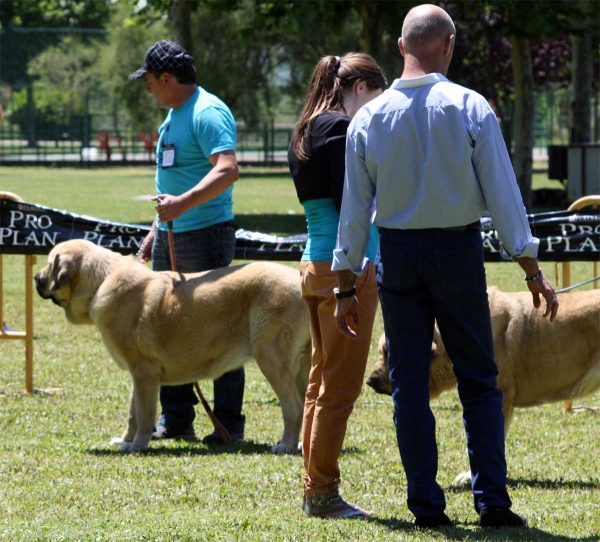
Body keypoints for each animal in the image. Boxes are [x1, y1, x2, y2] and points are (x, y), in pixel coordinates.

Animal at [35, 241, 312, 454]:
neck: (101, 282)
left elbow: (144, 414)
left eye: (49, 264)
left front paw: (137, 446)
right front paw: (125, 441)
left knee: (294, 408)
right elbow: (132, 413)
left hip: (271, 358)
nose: (36, 278)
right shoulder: (139, 376)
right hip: (303, 367)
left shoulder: (144, 373)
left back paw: (286, 445)